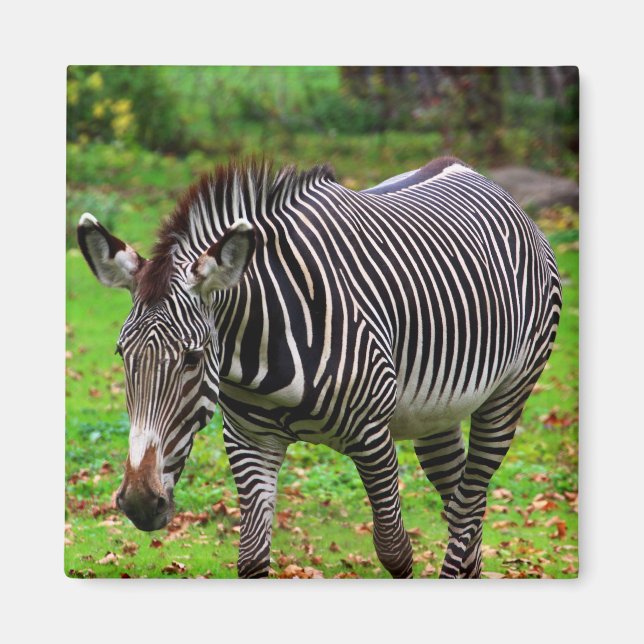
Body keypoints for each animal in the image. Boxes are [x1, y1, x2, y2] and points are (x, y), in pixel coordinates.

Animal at [77, 156, 561, 579]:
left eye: (193, 358)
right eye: (122, 355)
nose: (140, 503)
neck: (262, 354)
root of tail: (475, 173)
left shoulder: (372, 435)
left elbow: (395, 550)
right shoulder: (249, 440)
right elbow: (252, 560)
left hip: (508, 395)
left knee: (468, 503)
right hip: (436, 414)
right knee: (460, 501)